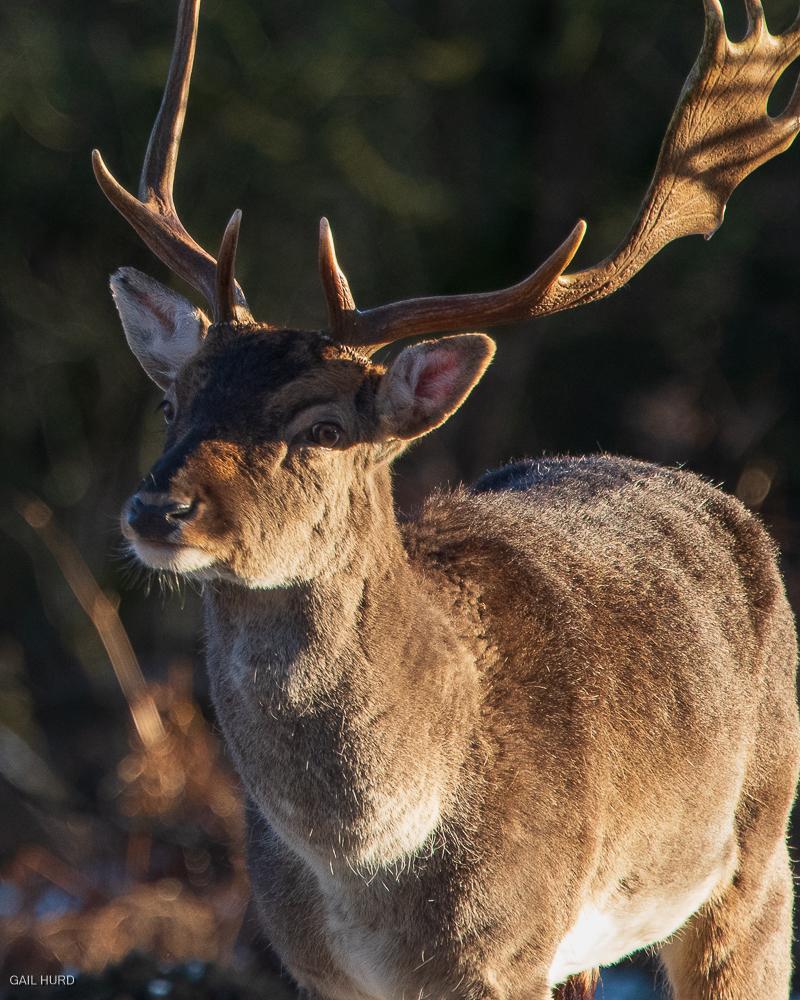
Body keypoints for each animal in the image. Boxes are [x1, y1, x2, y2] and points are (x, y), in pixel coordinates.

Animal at [92, 0, 800, 997]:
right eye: (172, 402)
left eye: (323, 427)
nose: (159, 511)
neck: (370, 862)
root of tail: (721, 502)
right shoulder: (316, 966)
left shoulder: (503, 948)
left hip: (757, 855)